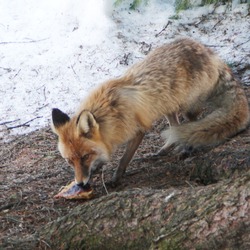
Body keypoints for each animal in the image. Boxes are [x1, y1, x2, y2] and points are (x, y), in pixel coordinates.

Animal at [51, 37, 249, 186]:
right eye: (70, 161)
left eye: (85, 156)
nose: (80, 184)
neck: (111, 112)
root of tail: (210, 52)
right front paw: (98, 167)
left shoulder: (138, 130)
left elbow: (124, 159)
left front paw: (116, 178)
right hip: (168, 106)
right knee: (175, 126)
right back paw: (166, 148)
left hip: (188, 107)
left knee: (191, 125)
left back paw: (186, 148)